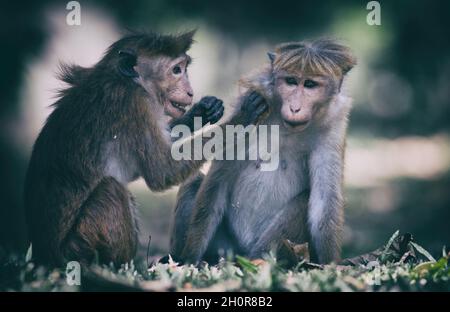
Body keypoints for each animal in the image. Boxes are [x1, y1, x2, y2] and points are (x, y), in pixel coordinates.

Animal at [22, 30, 229, 266]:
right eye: (176, 70)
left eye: (185, 68)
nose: (190, 92)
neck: (125, 80)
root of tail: (43, 257)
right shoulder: (136, 104)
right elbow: (162, 172)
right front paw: (238, 125)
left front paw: (202, 111)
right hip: (77, 248)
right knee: (111, 189)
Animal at [171, 37, 356, 264]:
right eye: (291, 81)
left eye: (310, 85)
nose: (295, 108)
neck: (287, 128)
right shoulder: (250, 104)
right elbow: (217, 183)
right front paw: (190, 260)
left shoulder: (333, 129)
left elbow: (323, 201)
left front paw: (331, 265)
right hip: (225, 247)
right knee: (194, 182)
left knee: (303, 201)